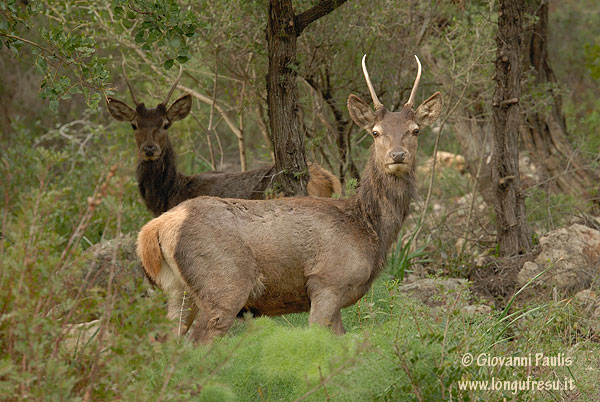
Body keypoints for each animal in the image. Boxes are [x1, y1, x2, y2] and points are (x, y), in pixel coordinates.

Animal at [138, 54, 442, 342]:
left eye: (415, 130)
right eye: (375, 132)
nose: (398, 155)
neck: (368, 229)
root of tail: (155, 228)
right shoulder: (327, 281)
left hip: (177, 289)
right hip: (223, 285)